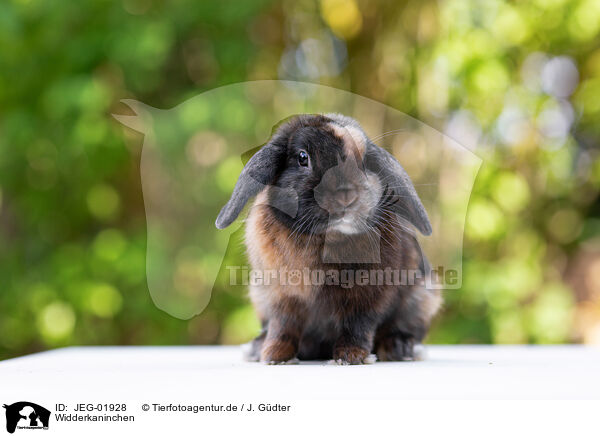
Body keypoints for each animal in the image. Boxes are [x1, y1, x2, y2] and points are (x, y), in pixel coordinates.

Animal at [216, 113, 440, 364]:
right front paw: (275, 356)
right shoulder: (281, 296)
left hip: (421, 297)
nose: (347, 195)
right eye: (303, 157)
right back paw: (257, 347)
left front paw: (351, 356)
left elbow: (358, 324)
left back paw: (400, 347)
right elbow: (282, 326)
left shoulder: (370, 296)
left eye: (364, 163)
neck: (324, 238)